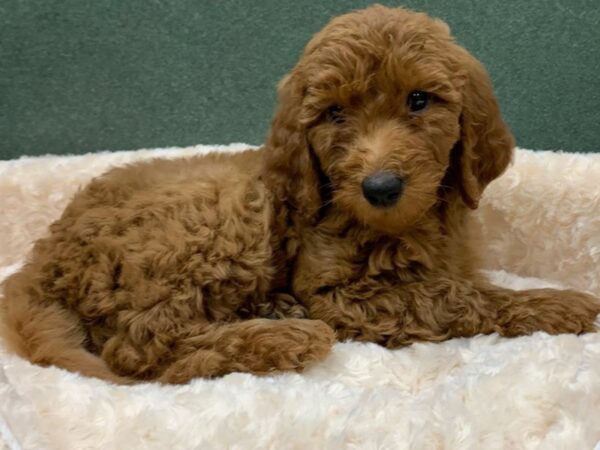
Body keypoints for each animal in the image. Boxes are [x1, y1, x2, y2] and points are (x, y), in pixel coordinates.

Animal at [3, 5, 600, 384]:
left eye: (419, 100)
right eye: (334, 113)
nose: (380, 186)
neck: (401, 227)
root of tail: (40, 261)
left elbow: (455, 284)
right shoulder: (335, 291)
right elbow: (450, 296)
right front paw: (561, 304)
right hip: (220, 215)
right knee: (141, 348)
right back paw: (283, 337)